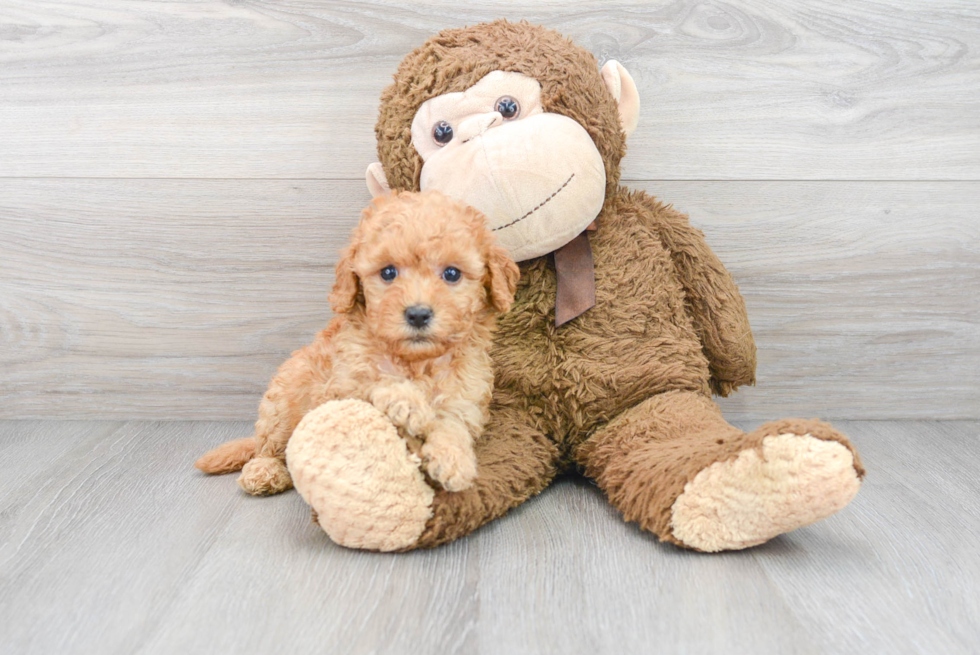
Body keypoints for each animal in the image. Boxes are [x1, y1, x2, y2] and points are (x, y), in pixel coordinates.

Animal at [193, 190, 520, 498]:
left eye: (451, 273)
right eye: (388, 272)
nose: (417, 314)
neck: (416, 361)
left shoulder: (464, 395)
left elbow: (453, 424)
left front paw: (454, 460)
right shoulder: (339, 387)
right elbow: (373, 383)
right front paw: (409, 404)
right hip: (284, 400)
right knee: (270, 445)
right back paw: (264, 471)